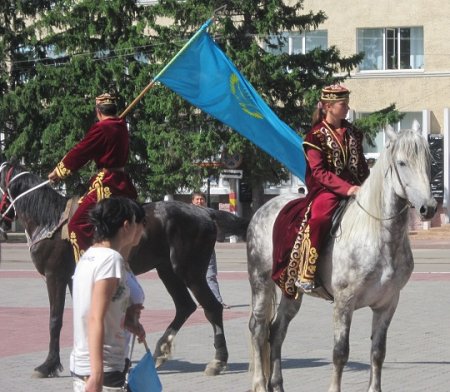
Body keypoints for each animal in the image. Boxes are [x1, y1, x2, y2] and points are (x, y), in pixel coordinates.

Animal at [0, 161, 248, 378]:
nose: (3, 224)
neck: (49, 221)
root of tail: (206, 212)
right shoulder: (73, 279)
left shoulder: (55, 277)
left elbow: (55, 320)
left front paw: (48, 365)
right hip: (167, 271)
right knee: (185, 306)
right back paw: (160, 351)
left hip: (190, 271)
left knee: (212, 307)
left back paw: (217, 361)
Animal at [248, 125, 438, 392]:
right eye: (402, 162)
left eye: (429, 162)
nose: (428, 208)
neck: (376, 234)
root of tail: (264, 208)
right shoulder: (343, 303)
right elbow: (340, 352)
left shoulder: (388, 303)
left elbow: (378, 352)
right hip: (260, 282)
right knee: (258, 329)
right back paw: (260, 384)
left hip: (290, 292)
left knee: (276, 331)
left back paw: (277, 384)